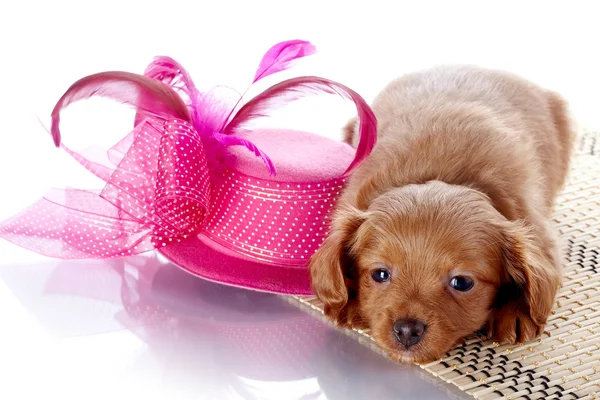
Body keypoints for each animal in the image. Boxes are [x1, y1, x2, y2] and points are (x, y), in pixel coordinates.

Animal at [310, 65, 576, 362]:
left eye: (461, 282)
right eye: (379, 274)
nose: (407, 330)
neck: (439, 174)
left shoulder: (534, 224)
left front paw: (516, 312)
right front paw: (347, 304)